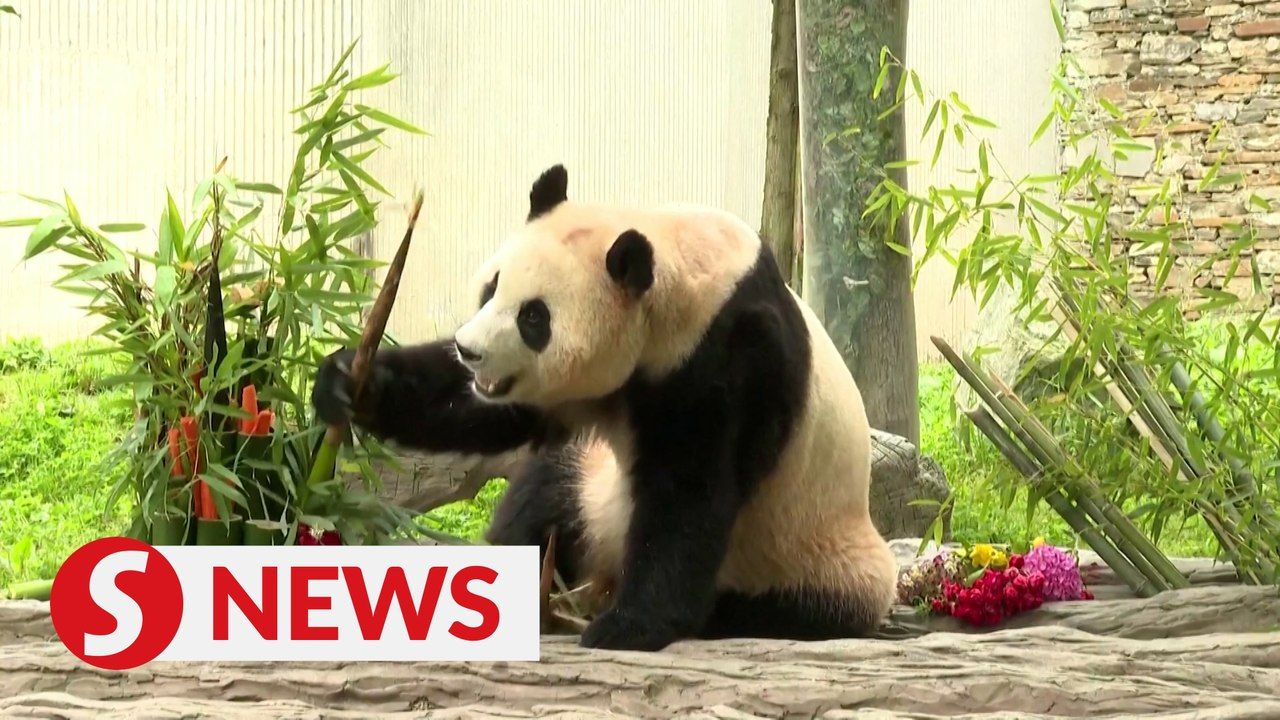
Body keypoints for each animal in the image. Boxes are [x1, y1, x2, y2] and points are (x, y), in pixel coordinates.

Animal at [313, 165, 897, 651]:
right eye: (492, 287)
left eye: (534, 318)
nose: (469, 350)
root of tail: (606, 571)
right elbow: (480, 411)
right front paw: (348, 383)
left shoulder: (732, 352)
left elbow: (692, 491)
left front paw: (630, 626)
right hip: (592, 492)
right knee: (545, 496)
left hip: (809, 556)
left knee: (784, 603)